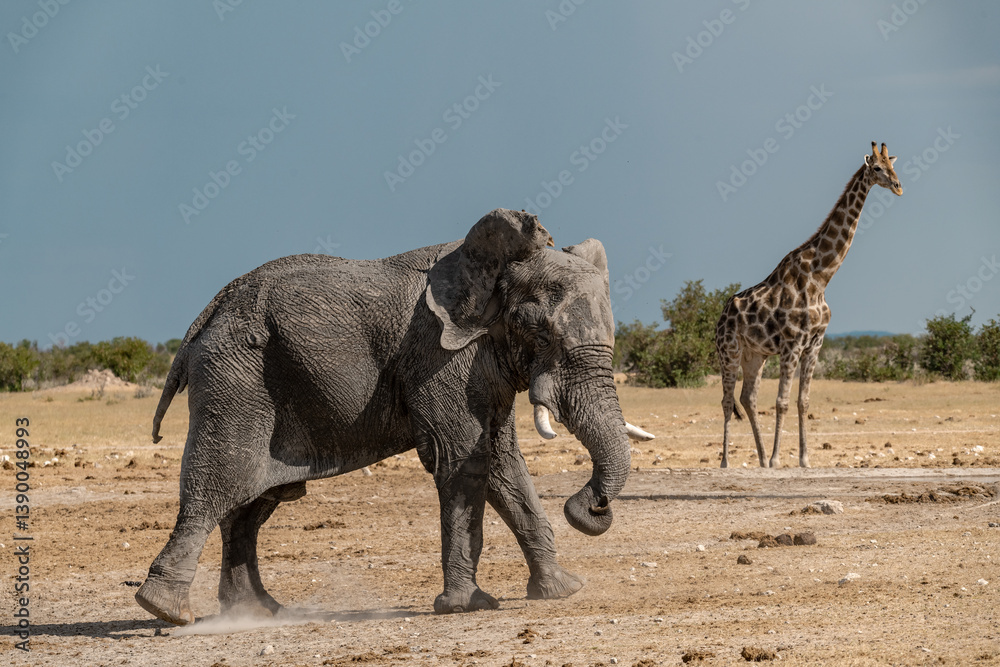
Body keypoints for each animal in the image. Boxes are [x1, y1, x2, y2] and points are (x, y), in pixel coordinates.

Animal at [135, 208, 653, 625]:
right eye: (537, 331)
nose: (593, 506)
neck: (491, 265)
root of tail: (205, 317)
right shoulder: (438, 356)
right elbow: (464, 462)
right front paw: (466, 607)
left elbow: (504, 464)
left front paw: (562, 591)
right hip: (236, 382)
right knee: (220, 484)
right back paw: (167, 611)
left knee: (253, 504)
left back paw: (258, 612)